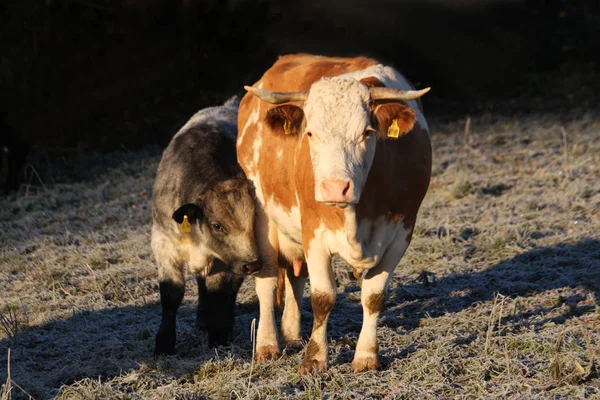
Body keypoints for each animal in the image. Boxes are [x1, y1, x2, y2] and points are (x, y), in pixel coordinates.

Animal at [151, 97, 262, 354]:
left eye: (255, 218)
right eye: (217, 225)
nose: (253, 264)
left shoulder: (223, 259)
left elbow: (218, 291)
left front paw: (218, 335)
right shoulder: (163, 243)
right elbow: (171, 295)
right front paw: (164, 342)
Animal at [238, 54, 432, 376]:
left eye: (367, 132)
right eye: (310, 133)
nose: (334, 188)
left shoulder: (402, 232)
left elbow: (374, 296)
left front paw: (366, 356)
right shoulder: (314, 233)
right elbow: (323, 297)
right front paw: (315, 359)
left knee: (296, 277)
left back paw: (292, 333)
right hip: (263, 217)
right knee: (267, 282)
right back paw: (267, 344)